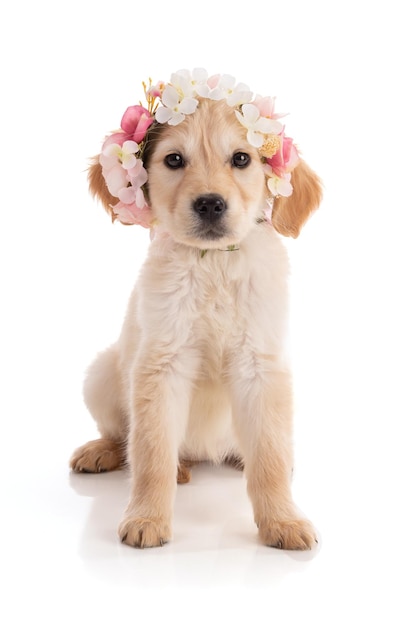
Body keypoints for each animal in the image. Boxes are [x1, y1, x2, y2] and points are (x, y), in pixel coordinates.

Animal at [70, 74, 322, 552]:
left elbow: (270, 455)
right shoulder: (161, 363)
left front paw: (282, 520)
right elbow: (151, 452)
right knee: (126, 437)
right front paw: (147, 516)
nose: (209, 204)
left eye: (241, 158)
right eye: (174, 160)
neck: (214, 264)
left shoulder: (261, 365)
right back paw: (110, 453)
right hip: (102, 373)